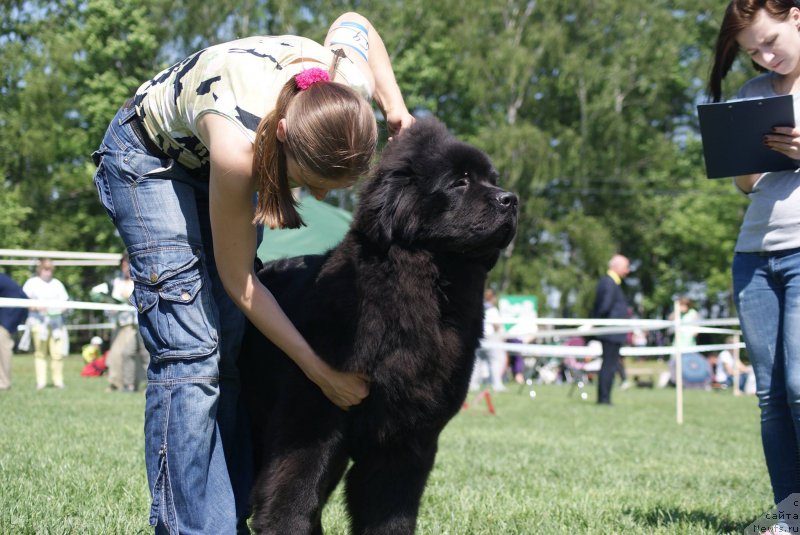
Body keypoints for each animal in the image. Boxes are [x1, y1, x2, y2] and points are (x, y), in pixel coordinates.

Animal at [239, 118, 520, 535]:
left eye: (493, 179)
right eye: (460, 182)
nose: (511, 199)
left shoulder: (406, 438)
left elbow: (390, 510)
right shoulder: (312, 412)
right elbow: (294, 490)